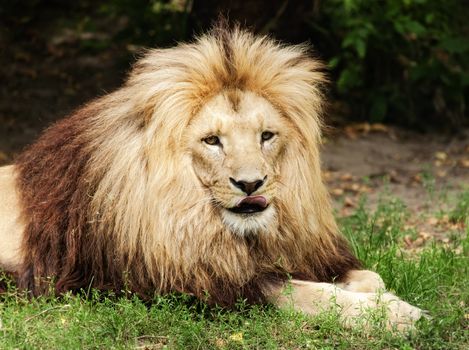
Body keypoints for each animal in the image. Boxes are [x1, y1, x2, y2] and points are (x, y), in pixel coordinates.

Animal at [0, 27, 422, 330]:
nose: (251, 185)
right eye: (212, 141)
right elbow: (303, 294)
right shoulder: (188, 284)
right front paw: (397, 315)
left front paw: (380, 295)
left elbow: (371, 277)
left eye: (266, 136)